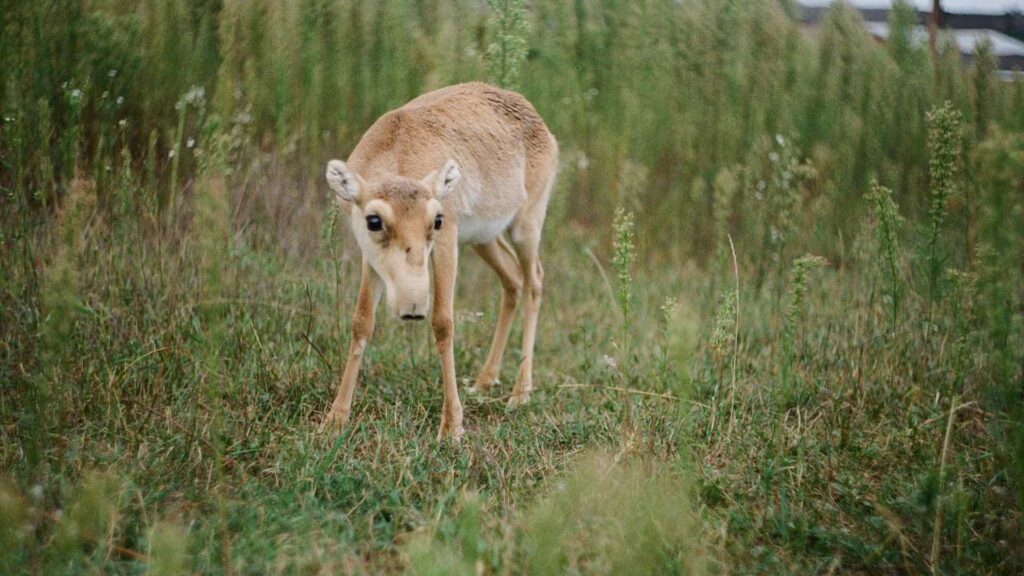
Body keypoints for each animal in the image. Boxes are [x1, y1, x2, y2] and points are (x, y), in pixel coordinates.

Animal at [321, 81, 557, 438]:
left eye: (437, 220)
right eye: (373, 220)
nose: (412, 306)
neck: (397, 150)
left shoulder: (447, 243)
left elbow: (443, 322)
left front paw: (452, 426)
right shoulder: (370, 257)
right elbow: (361, 322)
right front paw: (335, 419)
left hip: (525, 225)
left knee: (535, 282)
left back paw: (520, 393)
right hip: (483, 238)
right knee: (512, 281)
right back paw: (484, 381)